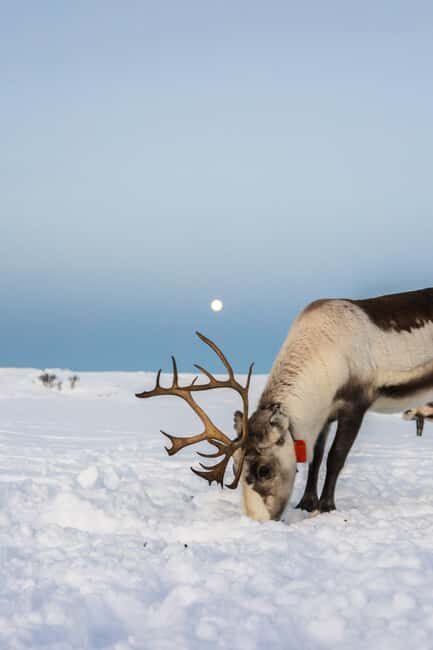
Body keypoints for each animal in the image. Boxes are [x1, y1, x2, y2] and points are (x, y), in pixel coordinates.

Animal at [136, 287, 433, 521]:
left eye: (264, 469)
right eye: (235, 465)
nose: (258, 521)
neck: (325, 351)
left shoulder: (355, 405)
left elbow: (335, 457)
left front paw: (326, 507)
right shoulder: (323, 415)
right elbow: (316, 457)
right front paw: (306, 503)